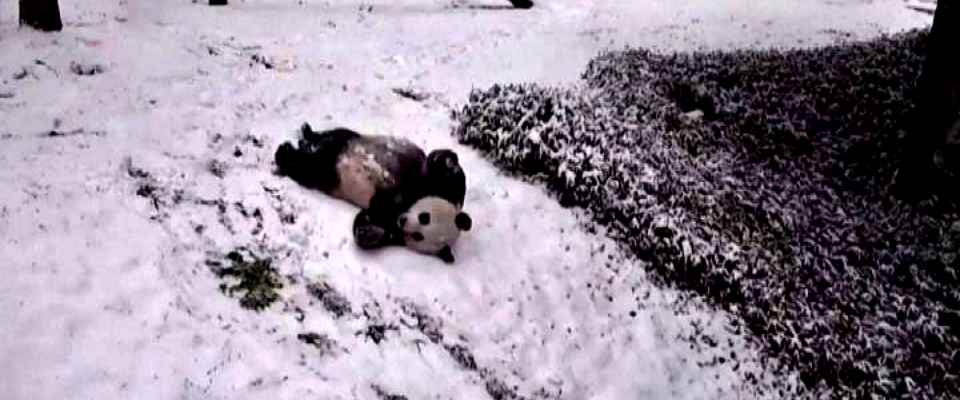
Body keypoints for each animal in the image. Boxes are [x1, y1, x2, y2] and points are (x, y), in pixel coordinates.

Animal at [275, 123, 471, 263]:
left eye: (418, 236)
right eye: (425, 217)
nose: (403, 220)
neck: (406, 201)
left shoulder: (391, 226)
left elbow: (369, 220)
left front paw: (369, 233)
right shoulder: (438, 187)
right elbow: (449, 174)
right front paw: (447, 161)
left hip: (327, 174)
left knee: (309, 167)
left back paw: (287, 151)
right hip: (351, 140)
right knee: (334, 135)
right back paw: (303, 134)